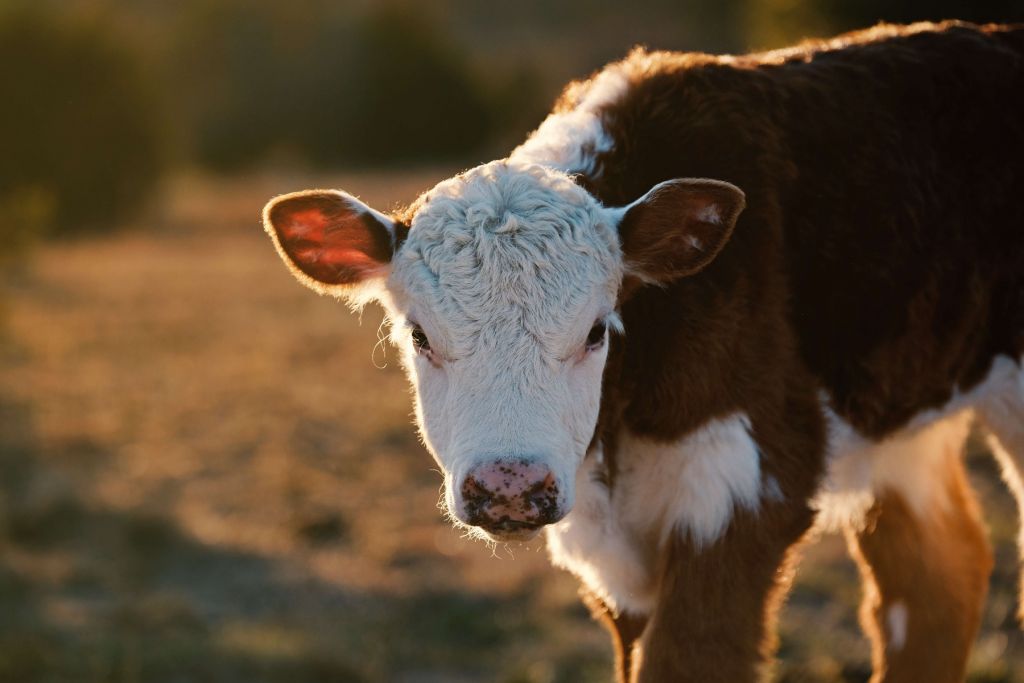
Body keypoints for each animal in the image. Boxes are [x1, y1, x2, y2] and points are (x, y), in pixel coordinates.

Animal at [264, 21, 1024, 683]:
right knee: (939, 574)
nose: (509, 486)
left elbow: (688, 658)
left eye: (597, 330)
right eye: (420, 335)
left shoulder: (745, 479)